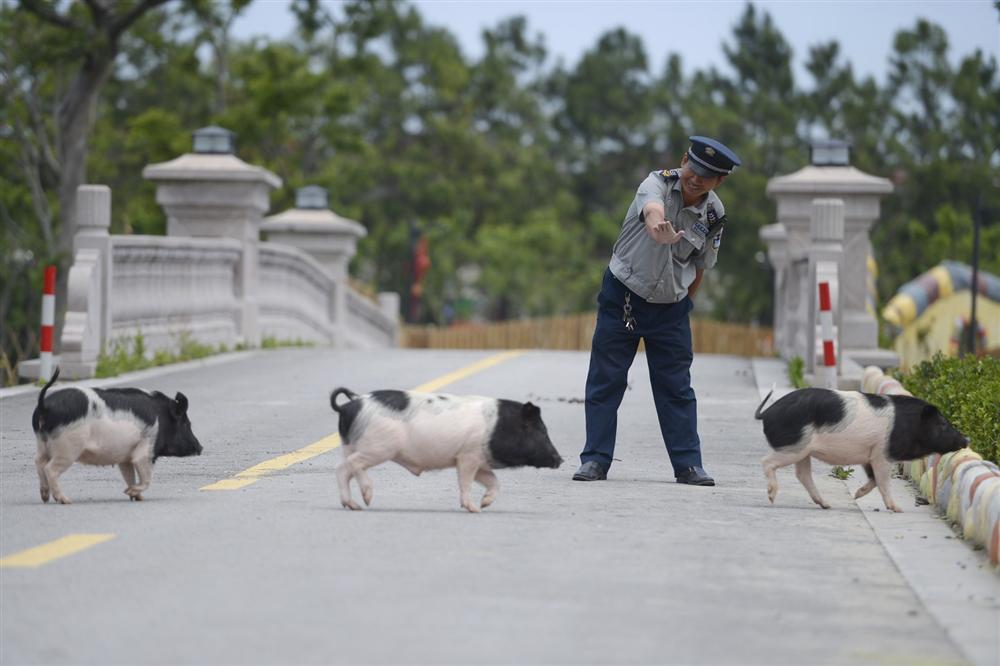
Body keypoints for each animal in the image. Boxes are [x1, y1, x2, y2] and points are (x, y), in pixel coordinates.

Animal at [32, 366, 203, 500]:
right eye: (186, 424)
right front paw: (129, 492)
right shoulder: (145, 449)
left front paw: (135, 496)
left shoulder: (125, 457)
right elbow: (147, 478)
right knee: (50, 469)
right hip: (67, 447)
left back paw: (45, 497)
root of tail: (44, 406)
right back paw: (65, 500)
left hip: (41, 443)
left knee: (39, 463)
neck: (162, 418)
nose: (200, 448)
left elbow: (130, 476)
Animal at [328, 386, 564, 510]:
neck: (497, 426)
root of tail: (351, 405)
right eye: (541, 431)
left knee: (346, 470)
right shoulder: (468, 456)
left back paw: (355, 505)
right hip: (378, 448)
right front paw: (474, 509)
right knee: (348, 467)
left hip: (352, 446)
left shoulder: (479, 461)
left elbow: (493, 482)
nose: (560, 459)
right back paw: (366, 499)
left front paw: (484, 505)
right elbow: (465, 482)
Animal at [756, 386, 968, 510]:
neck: (908, 424)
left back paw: (826, 505)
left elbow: (873, 479)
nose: (966, 439)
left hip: (803, 450)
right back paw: (771, 497)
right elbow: (883, 481)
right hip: (794, 447)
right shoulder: (882, 455)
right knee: (767, 462)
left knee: (802, 474)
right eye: (943, 423)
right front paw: (897, 509)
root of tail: (767, 413)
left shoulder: (870, 456)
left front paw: (857, 495)